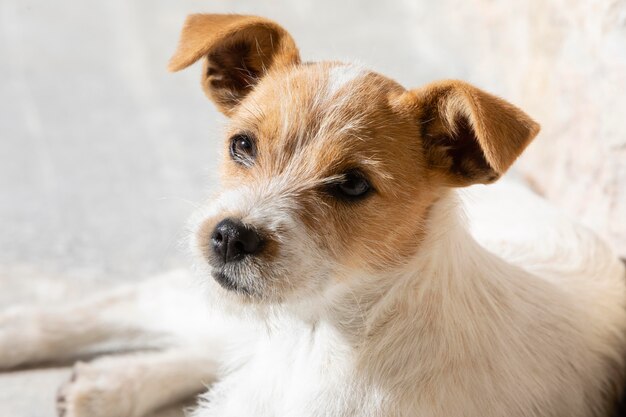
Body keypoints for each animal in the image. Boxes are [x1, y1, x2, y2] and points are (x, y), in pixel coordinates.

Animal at [1, 13, 624, 416]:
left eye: (351, 184)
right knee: (121, 306)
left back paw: (111, 384)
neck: (316, 337)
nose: (229, 236)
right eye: (242, 145)